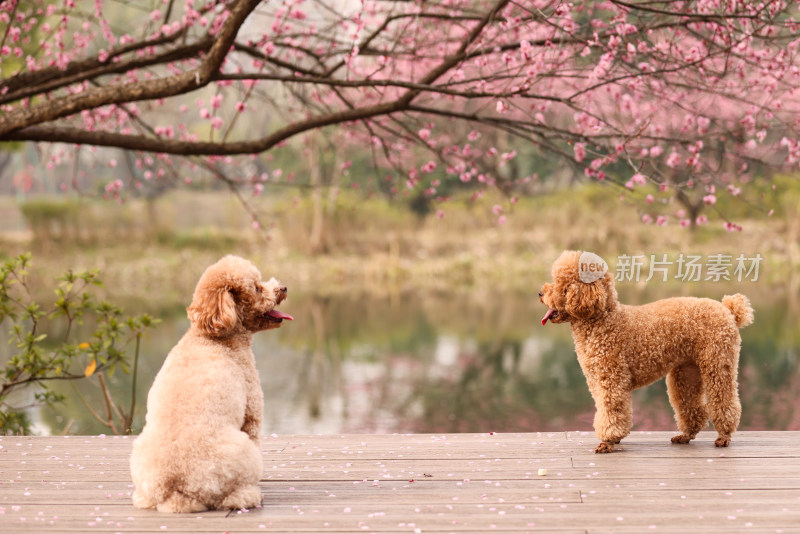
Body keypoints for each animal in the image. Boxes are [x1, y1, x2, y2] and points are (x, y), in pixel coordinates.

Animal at [130, 258, 292, 512]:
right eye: (257, 288)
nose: (283, 288)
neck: (213, 337)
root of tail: (177, 492)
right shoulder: (252, 411)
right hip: (240, 452)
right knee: (230, 496)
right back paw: (248, 495)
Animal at [540, 253, 752, 454]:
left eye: (560, 283)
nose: (540, 293)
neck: (603, 318)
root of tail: (727, 309)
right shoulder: (596, 381)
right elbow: (605, 410)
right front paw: (613, 439)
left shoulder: (612, 379)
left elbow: (611, 411)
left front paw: (607, 442)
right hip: (686, 371)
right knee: (691, 405)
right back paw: (685, 435)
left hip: (718, 363)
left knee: (724, 401)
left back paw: (724, 436)